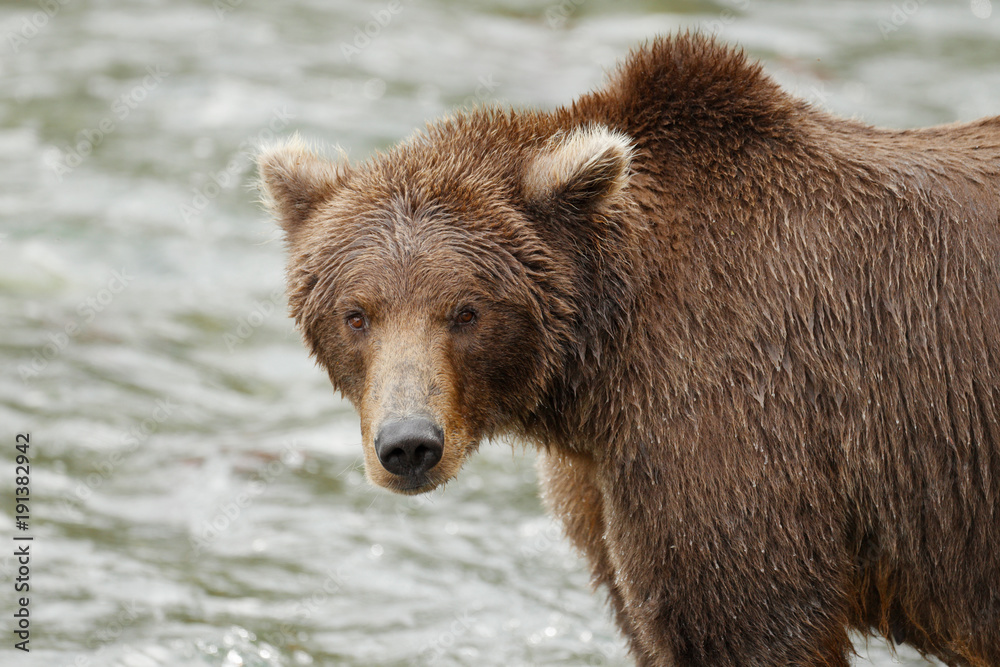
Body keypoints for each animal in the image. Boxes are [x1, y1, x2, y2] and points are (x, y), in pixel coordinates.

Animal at [257, 34, 1000, 667]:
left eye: (466, 311)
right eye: (357, 313)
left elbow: (745, 617)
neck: (596, 367)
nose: (410, 443)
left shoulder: (738, 424)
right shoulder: (601, 484)